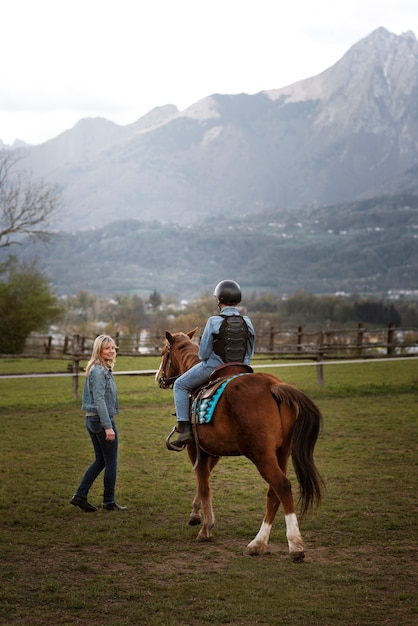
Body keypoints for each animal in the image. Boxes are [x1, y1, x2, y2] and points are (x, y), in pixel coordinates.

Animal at [155, 326, 324, 560]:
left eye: (164, 352)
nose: (159, 378)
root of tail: (274, 386)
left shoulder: (195, 448)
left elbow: (204, 485)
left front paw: (206, 528)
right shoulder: (212, 451)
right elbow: (203, 481)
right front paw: (196, 514)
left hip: (261, 455)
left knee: (282, 486)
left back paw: (294, 545)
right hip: (281, 452)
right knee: (274, 492)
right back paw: (258, 544)